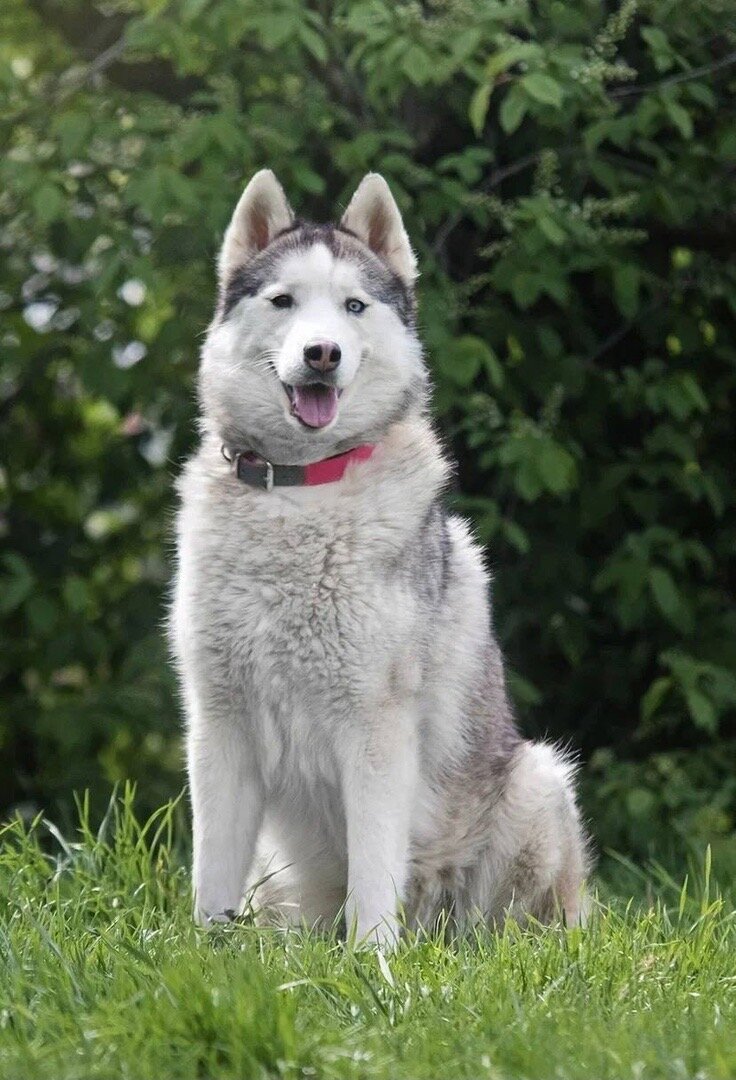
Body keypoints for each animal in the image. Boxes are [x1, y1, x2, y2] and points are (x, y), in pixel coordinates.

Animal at [169, 168, 587, 946]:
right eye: (284, 301)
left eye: (354, 306)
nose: (322, 353)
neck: (299, 492)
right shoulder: (219, 725)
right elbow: (212, 872)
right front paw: (205, 950)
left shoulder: (373, 729)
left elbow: (373, 876)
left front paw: (372, 962)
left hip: (538, 782)